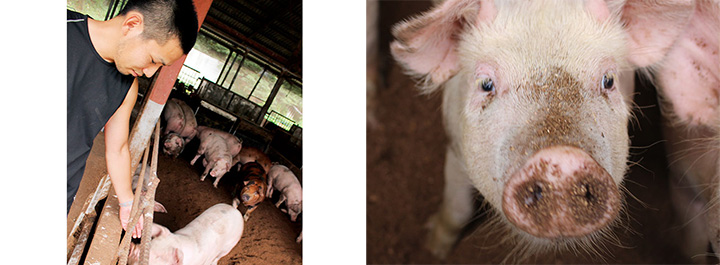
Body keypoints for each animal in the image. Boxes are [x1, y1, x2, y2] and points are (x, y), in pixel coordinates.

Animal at [390, 0, 696, 260]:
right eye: (486, 84)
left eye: (608, 80)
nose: (563, 158)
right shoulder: (455, 146)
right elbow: (457, 209)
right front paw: (432, 249)